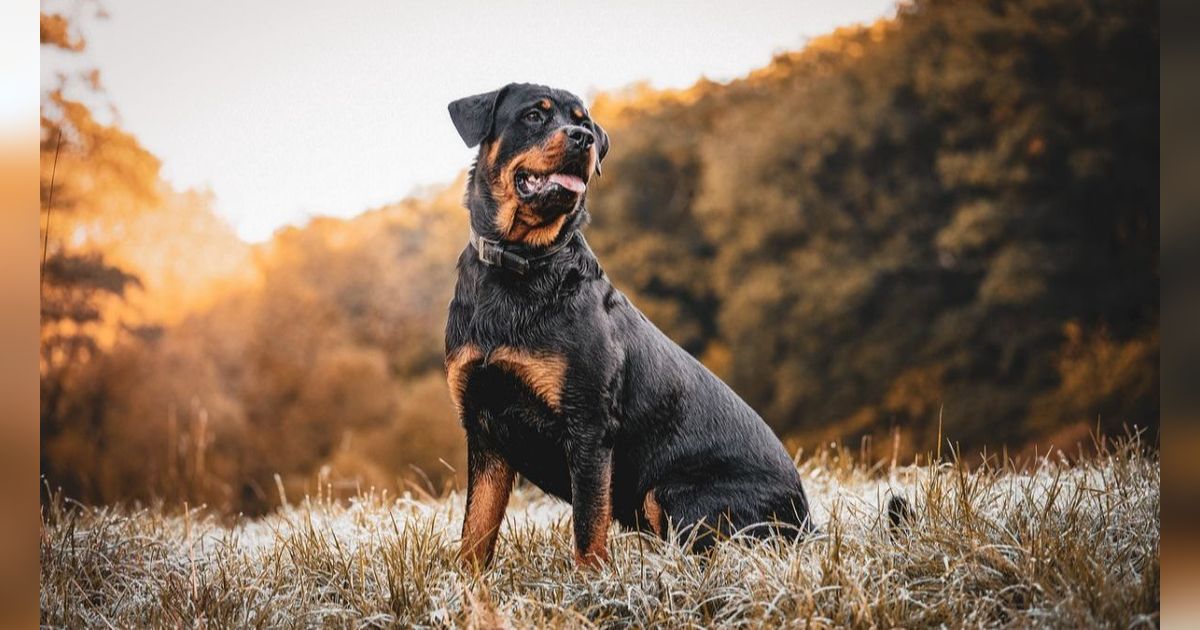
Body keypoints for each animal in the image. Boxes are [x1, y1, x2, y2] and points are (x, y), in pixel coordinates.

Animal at [446, 81, 811, 566]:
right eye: (534, 116)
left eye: (583, 122)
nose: (582, 138)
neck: (522, 264)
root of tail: (807, 521)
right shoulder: (484, 428)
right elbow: (476, 530)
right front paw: (467, 584)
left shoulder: (588, 427)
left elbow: (588, 529)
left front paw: (590, 584)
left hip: (672, 493)